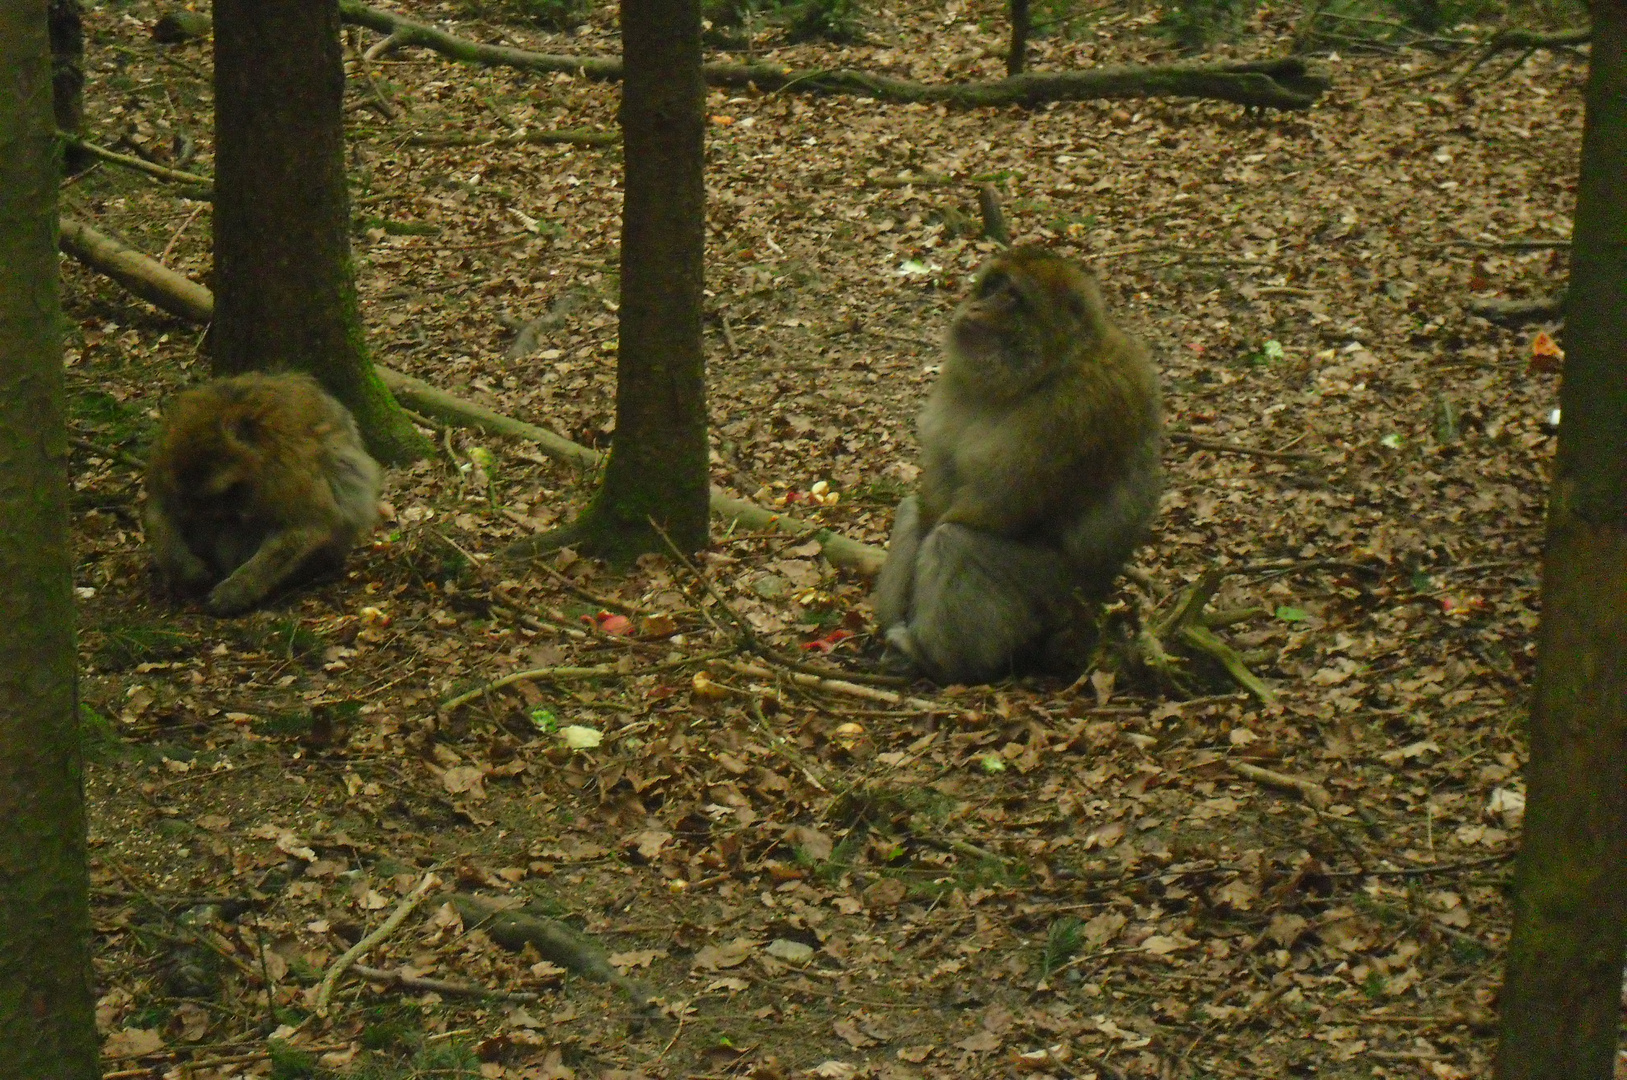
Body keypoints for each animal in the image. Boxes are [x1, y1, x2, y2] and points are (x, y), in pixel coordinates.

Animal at [140, 370, 380, 611]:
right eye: (190, 499)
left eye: (223, 493)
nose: (204, 514)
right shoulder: (163, 464)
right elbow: (160, 514)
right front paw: (188, 572)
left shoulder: (287, 474)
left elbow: (307, 526)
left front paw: (235, 591)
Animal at [872, 245, 1164, 683]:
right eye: (992, 286)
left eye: (1011, 297)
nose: (975, 306)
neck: (1044, 373)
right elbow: (937, 495)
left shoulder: (1076, 410)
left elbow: (998, 509)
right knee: (915, 510)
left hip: (1053, 600)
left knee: (955, 542)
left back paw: (935, 660)